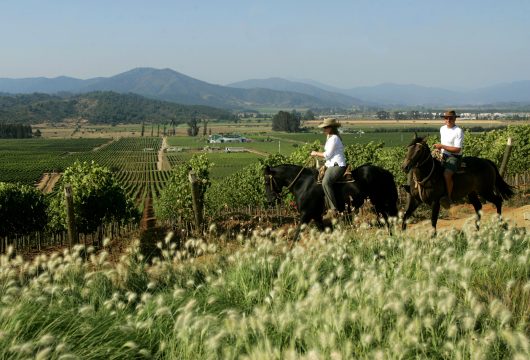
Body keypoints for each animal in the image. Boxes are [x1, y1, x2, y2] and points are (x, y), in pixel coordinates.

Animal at [264, 163, 396, 233]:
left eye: (266, 182)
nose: (270, 201)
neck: (303, 184)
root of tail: (383, 171)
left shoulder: (306, 215)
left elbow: (297, 235)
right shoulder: (316, 216)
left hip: (379, 202)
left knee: (387, 218)